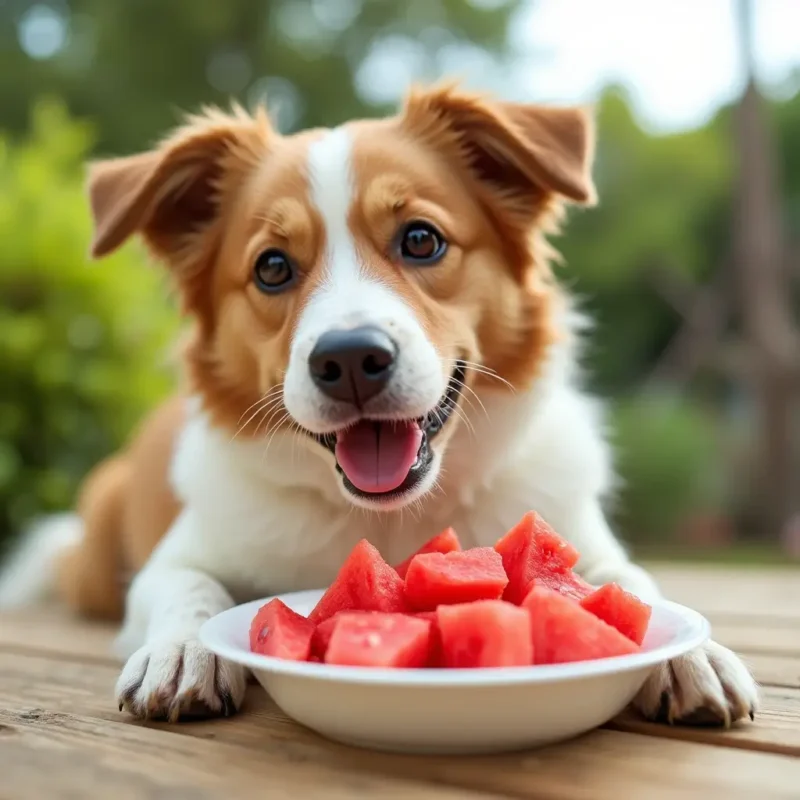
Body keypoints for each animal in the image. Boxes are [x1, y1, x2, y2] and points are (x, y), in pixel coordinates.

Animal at [0, 86, 756, 724]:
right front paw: (183, 650)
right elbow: (188, 590)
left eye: (421, 238)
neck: (391, 520)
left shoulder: (583, 540)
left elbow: (631, 585)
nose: (349, 361)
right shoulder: (173, 561)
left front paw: (694, 652)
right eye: (271, 267)